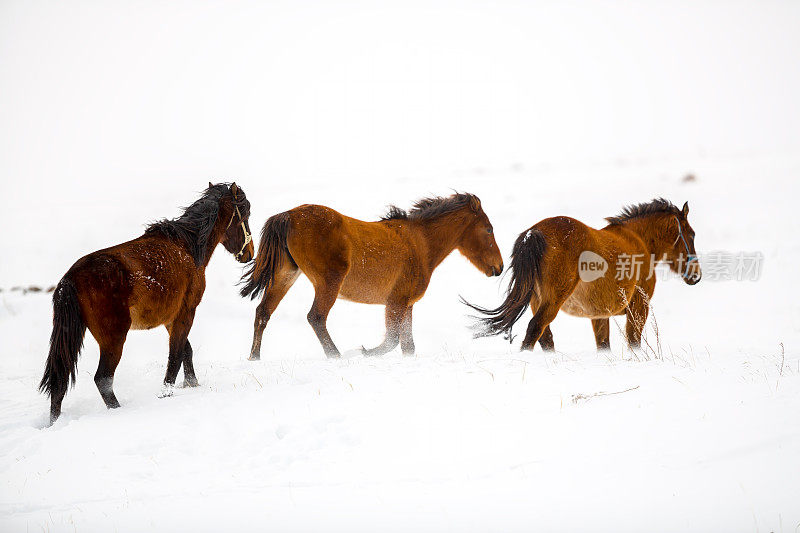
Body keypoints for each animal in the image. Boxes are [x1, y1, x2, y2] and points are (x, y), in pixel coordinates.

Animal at [39, 183, 253, 424]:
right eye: (246, 216)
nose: (250, 253)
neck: (187, 248)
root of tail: (71, 278)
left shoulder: (171, 318)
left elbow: (185, 350)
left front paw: (192, 384)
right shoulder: (186, 312)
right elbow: (175, 356)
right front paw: (167, 393)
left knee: (59, 381)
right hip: (114, 339)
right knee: (103, 379)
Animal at [241, 191, 504, 358]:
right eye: (489, 229)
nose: (499, 267)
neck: (420, 243)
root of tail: (289, 215)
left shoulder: (407, 304)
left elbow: (407, 346)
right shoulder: (395, 301)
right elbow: (391, 341)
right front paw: (362, 352)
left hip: (285, 275)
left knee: (263, 312)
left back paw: (254, 357)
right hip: (328, 282)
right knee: (315, 317)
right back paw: (337, 356)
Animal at [462, 197, 700, 352]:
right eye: (692, 234)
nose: (696, 275)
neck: (638, 241)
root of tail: (534, 233)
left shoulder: (600, 316)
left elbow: (603, 346)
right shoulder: (638, 308)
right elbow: (634, 342)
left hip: (537, 301)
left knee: (545, 338)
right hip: (552, 301)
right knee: (535, 330)